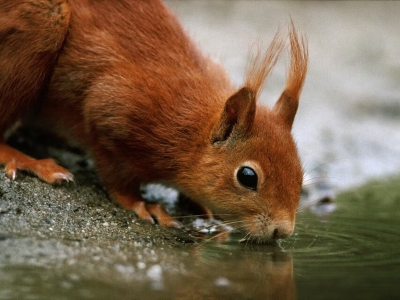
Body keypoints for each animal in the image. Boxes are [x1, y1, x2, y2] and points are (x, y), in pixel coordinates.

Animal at [0, 0, 308, 244]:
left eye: (300, 172)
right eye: (247, 177)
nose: (283, 231)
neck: (191, 134)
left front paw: (200, 208)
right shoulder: (111, 113)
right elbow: (117, 177)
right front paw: (144, 204)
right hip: (41, 27)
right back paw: (29, 160)